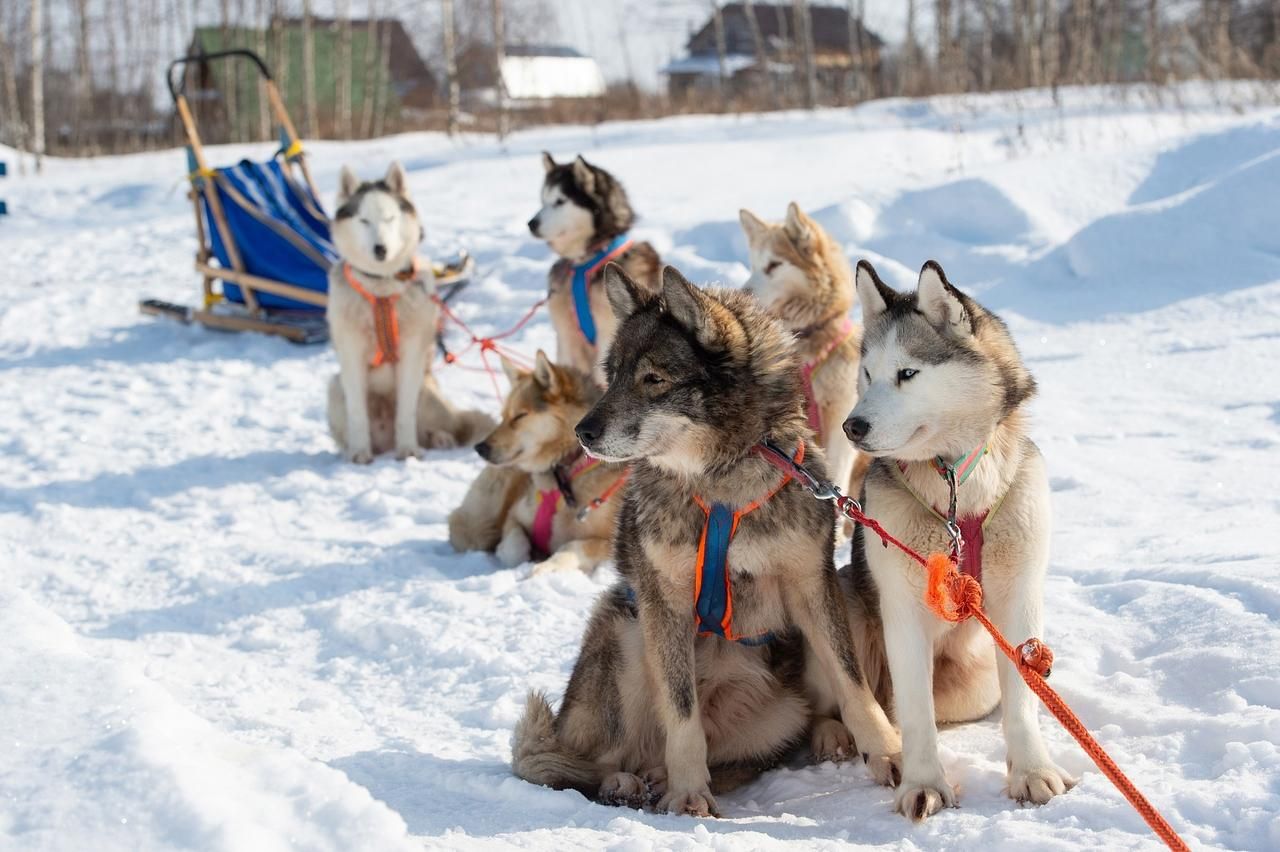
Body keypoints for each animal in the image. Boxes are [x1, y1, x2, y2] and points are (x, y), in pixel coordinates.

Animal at [327, 161, 491, 460]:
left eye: (390, 218)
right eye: (364, 221)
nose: (380, 249)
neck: (382, 289)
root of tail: (385, 441)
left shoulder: (412, 354)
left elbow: (405, 413)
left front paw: (408, 451)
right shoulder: (351, 354)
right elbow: (357, 414)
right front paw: (359, 453)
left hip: (428, 395)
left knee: (444, 428)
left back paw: (439, 438)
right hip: (334, 387)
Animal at [512, 262, 901, 813]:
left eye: (653, 379)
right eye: (612, 375)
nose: (581, 433)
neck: (720, 492)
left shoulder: (812, 585)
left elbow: (854, 683)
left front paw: (889, 754)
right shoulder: (664, 602)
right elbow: (681, 712)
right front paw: (689, 794)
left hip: (788, 701)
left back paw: (661, 777)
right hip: (627, 633)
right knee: (599, 762)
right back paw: (629, 783)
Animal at [839, 257, 1070, 818]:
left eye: (907, 373)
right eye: (867, 374)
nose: (853, 426)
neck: (955, 490)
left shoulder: (1018, 597)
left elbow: (1023, 700)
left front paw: (1032, 772)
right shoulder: (903, 607)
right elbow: (915, 712)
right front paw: (924, 783)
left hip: (976, 681)